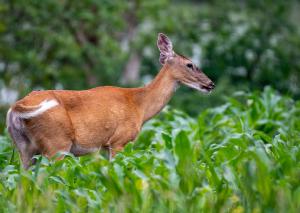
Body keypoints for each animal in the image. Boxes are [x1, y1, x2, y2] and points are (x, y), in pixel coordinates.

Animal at [5, 33, 214, 169]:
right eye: (190, 64)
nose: (210, 84)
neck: (139, 105)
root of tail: (16, 107)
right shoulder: (120, 140)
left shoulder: (105, 146)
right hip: (56, 143)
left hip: (24, 147)